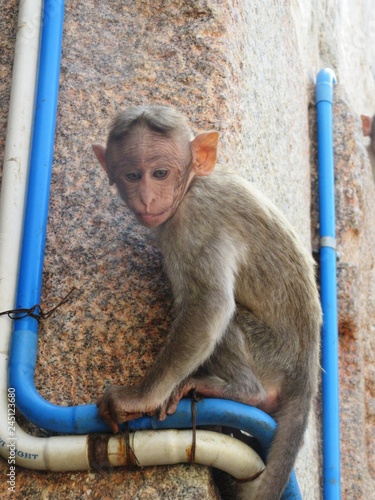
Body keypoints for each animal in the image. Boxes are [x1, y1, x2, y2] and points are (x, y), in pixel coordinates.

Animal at [92, 103, 322, 498]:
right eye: (133, 175)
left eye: (161, 173)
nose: (147, 197)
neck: (193, 185)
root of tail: (306, 371)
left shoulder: (196, 221)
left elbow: (209, 305)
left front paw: (139, 398)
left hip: (271, 356)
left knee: (227, 322)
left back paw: (246, 391)